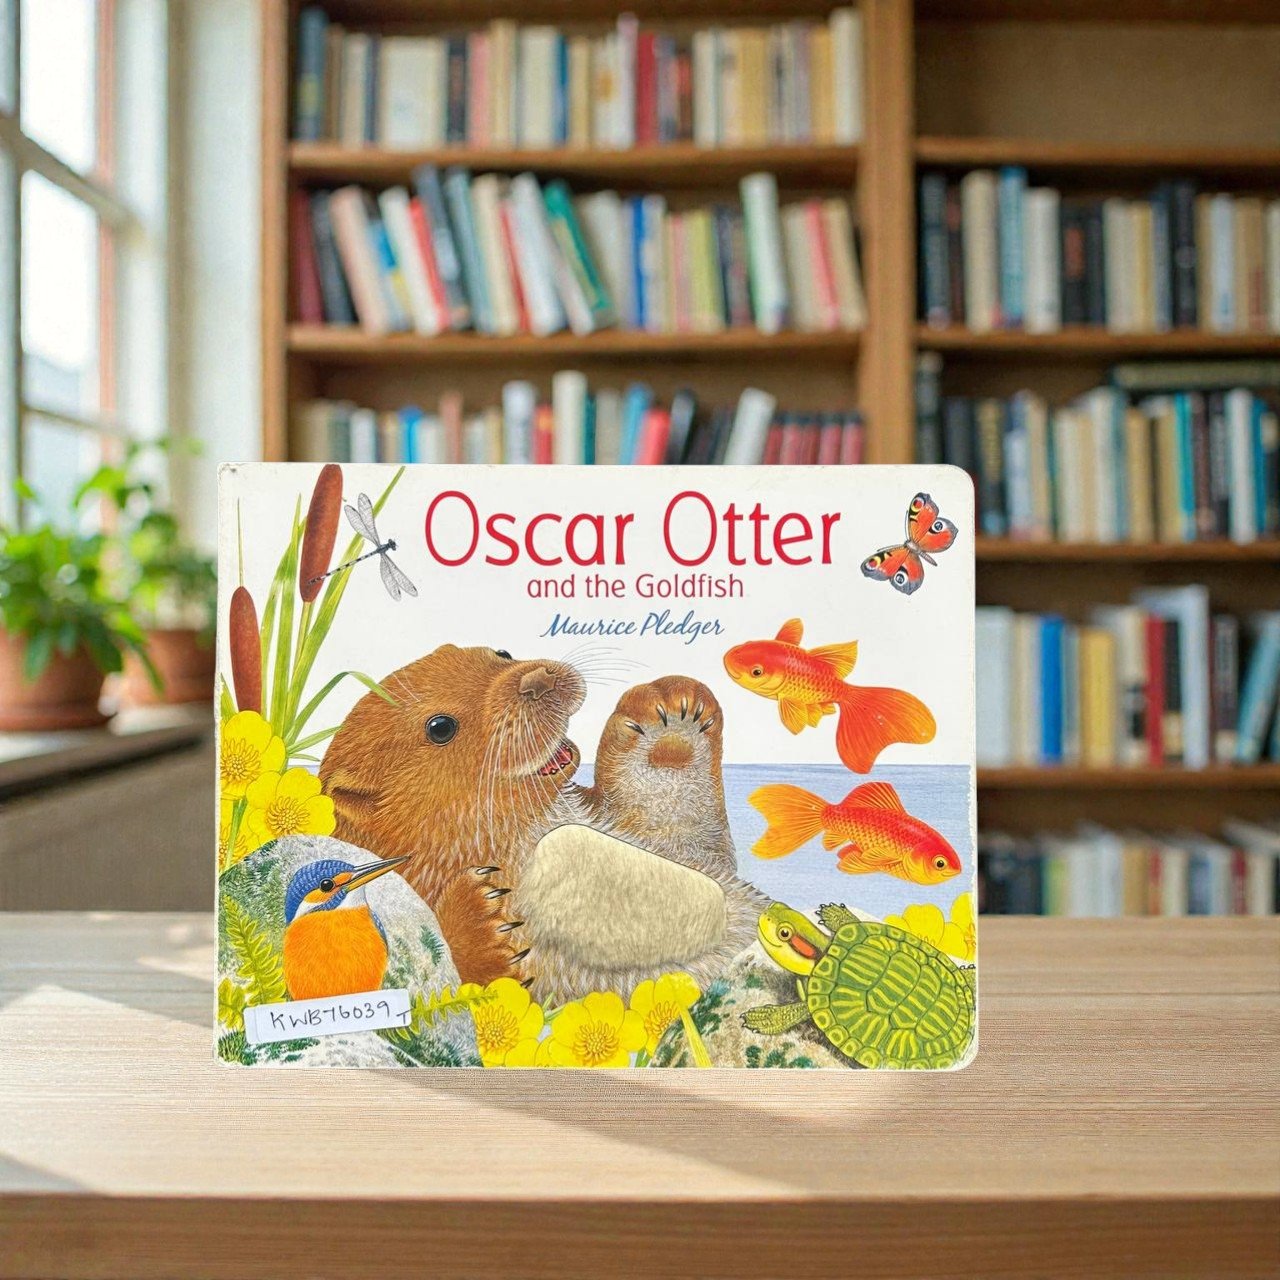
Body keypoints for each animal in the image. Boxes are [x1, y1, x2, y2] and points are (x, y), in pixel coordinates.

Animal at [318, 647, 765, 1002]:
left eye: (501, 652)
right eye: (440, 726)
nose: (539, 679)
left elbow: (688, 837)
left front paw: (671, 711)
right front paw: (480, 919)